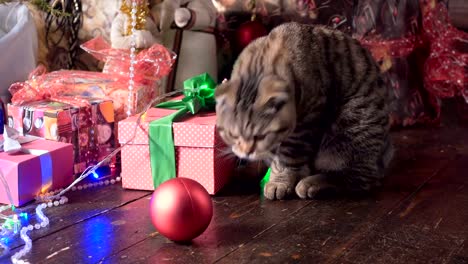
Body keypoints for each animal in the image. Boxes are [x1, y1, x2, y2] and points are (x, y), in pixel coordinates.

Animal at [216, 22, 394, 200]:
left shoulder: (307, 119)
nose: (246, 152)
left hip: (351, 129)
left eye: (261, 135)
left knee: (358, 178)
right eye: (232, 135)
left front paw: (280, 180)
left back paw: (312, 184)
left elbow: (289, 157)